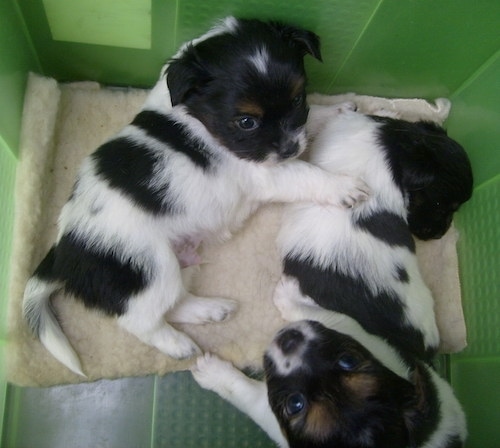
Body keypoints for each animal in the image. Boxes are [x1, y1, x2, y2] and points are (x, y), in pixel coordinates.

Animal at [22, 17, 368, 376]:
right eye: (246, 121)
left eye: (299, 99)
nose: (289, 148)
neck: (195, 113)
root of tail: (63, 252)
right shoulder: (265, 171)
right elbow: (307, 174)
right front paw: (344, 187)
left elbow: (311, 123)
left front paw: (337, 109)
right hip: (150, 268)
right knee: (139, 320)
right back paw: (177, 344)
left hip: (178, 259)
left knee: (172, 304)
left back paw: (209, 310)